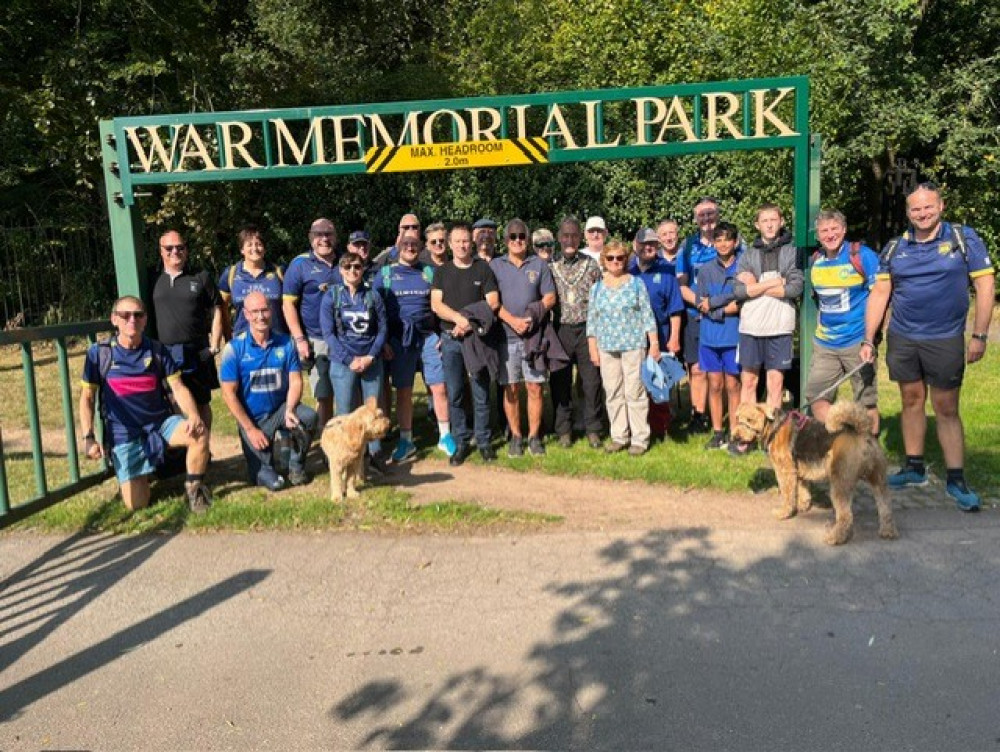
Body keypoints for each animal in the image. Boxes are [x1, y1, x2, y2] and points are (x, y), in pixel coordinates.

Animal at [736, 402, 900, 544]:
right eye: (737, 418)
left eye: (749, 419)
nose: (736, 437)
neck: (775, 426)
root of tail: (862, 433)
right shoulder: (799, 471)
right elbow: (803, 490)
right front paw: (802, 506)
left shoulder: (785, 471)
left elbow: (788, 495)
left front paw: (783, 513)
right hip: (878, 479)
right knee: (885, 506)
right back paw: (887, 531)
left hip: (840, 483)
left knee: (846, 516)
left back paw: (834, 538)